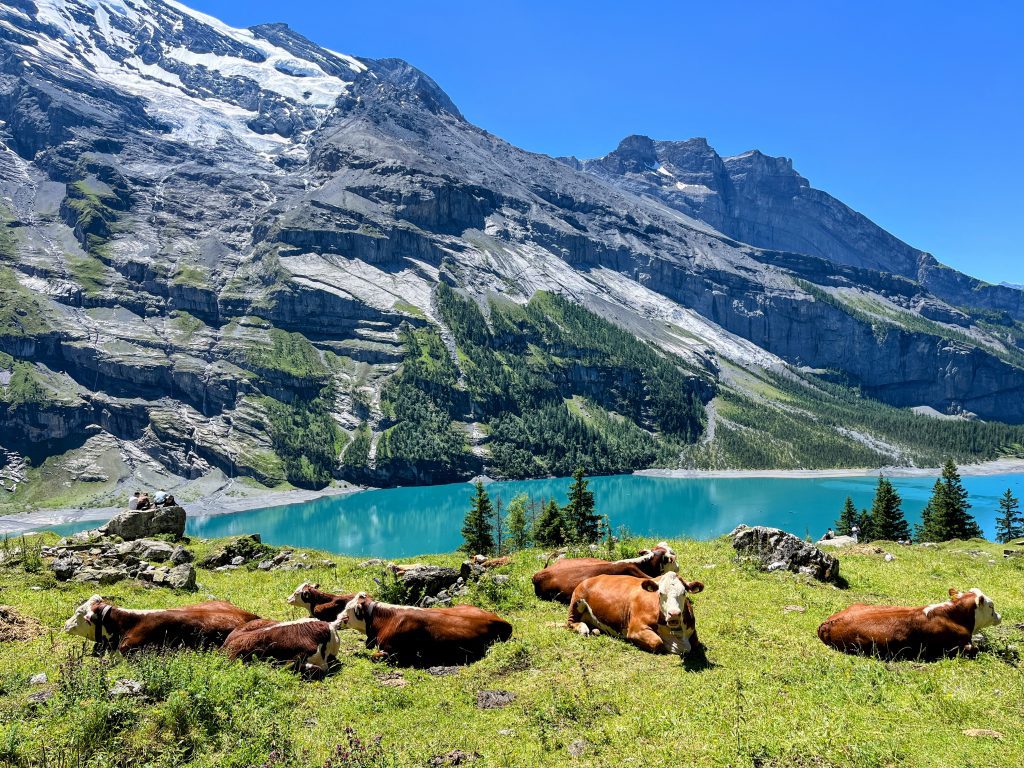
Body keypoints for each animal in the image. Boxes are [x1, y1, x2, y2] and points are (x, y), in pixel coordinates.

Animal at [569, 573, 704, 659]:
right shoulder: (635, 629)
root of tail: (592, 578)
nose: (674, 614)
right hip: (577, 601)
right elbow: (657, 642)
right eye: (660, 593)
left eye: (684, 593)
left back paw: (595, 630)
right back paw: (583, 628)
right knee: (570, 623)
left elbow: (696, 644)